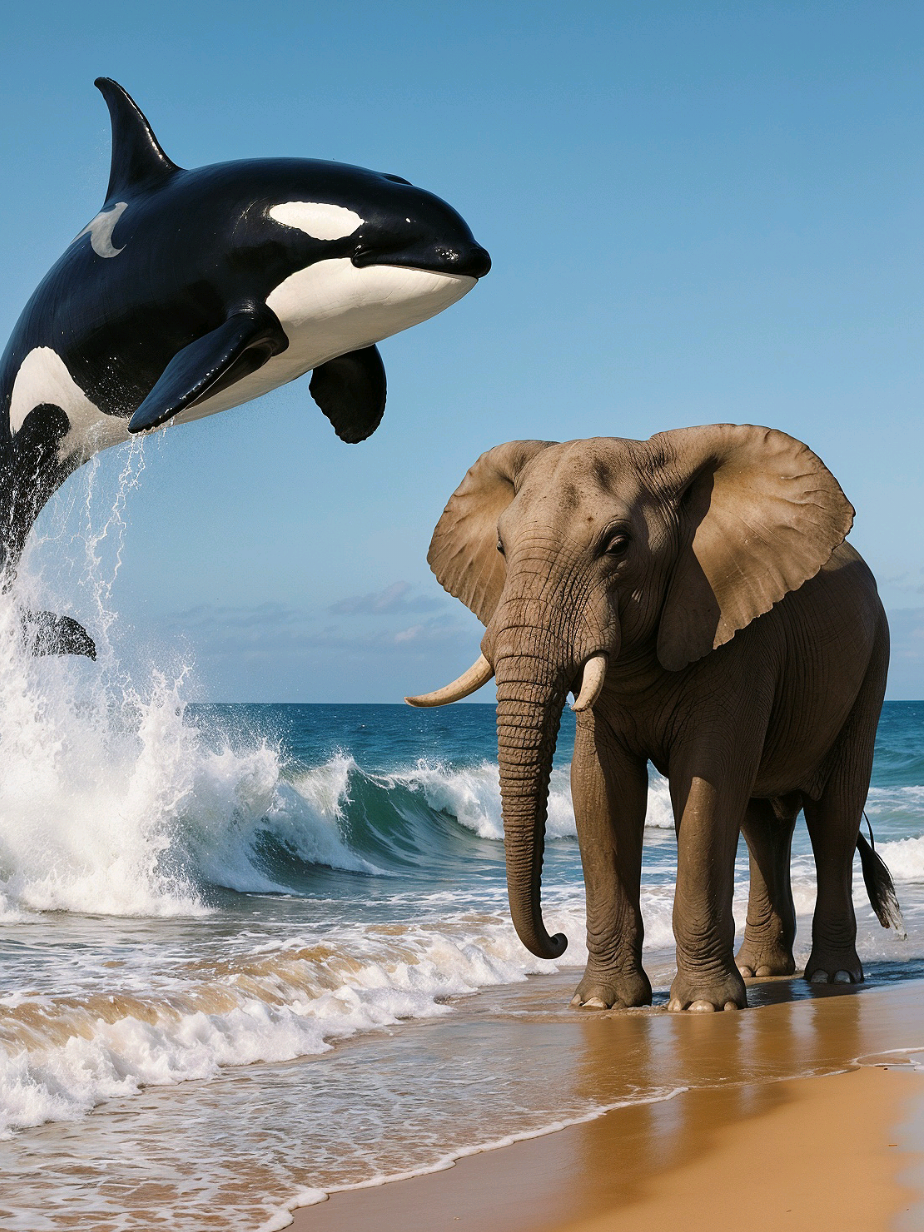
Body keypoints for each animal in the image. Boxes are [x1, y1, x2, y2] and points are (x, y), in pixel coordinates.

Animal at [407, 425, 904, 1012]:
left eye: (618, 544)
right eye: (502, 547)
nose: (558, 939)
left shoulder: (738, 637)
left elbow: (707, 783)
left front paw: (702, 1007)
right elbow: (599, 789)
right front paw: (602, 1004)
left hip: (873, 662)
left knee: (834, 815)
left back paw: (833, 979)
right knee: (762, 822)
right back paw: (763, 971)